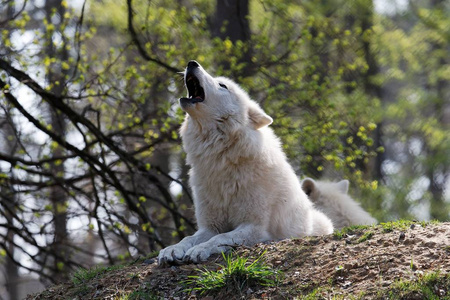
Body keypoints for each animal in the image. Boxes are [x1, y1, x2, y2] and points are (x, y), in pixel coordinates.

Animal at [156, 61, 332, 264]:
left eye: (222, 85)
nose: (192, 63)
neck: (222, 160)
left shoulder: (254, 226)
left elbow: (221, 237)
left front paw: (198, 250)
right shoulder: (210, 226)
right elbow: (188, 238)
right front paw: (172, 250)